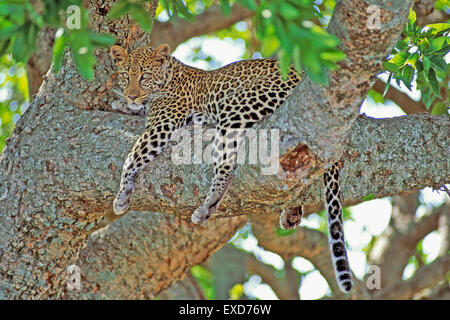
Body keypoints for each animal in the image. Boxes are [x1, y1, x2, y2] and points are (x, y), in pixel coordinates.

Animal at [108, 43, 352, 292]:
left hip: (237, 108)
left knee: (226, 163)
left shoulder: (161, 125)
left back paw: (208, 206)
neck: (170, 73)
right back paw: (292, 211)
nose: (132, 94)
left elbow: (132, 157)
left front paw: (122, 194)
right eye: (126, 76)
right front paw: (122, 103)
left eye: (144, 76)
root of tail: (302, 76)